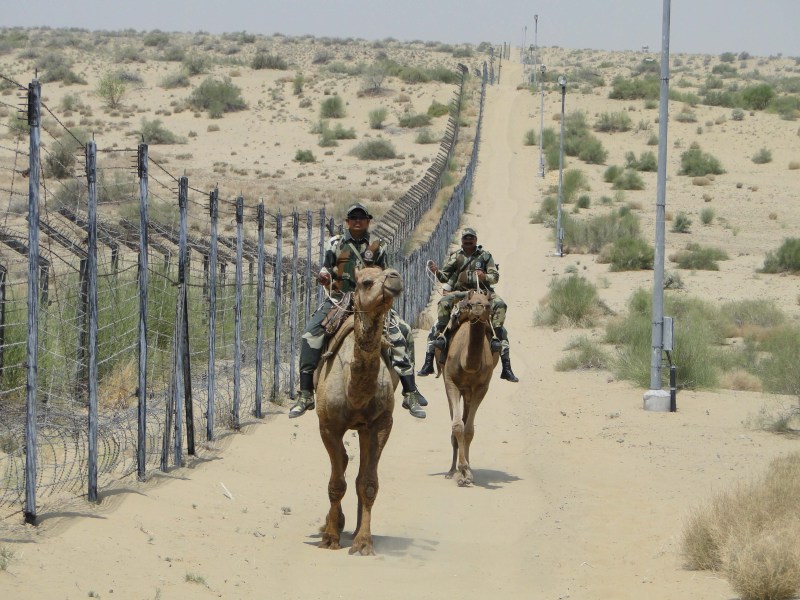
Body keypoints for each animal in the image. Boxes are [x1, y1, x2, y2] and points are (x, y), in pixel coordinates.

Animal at [314, 266, 402, 555]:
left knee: (359, 471)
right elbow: (336, 483)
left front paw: (363, 542)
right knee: (341, 462)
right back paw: (334, 524)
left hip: (364, 429)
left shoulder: (381, 423)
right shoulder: (328, 425)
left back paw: (352, 530)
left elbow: (369, 483)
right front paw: (329, 538)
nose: (395, 278)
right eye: (366, 282)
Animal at [439, 290, 499, 486]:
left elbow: (469, 429)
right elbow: (457, 426)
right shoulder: (450, 382)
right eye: (472, 303)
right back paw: (451, 471)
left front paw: (467, 472)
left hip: (469, 392)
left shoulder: (481, 387)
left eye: (487, 302)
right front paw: (460, 470)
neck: (468, 364)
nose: (483, 308)